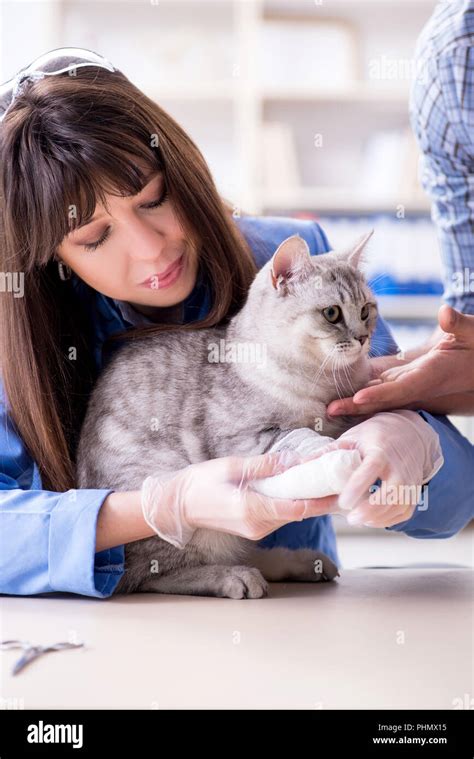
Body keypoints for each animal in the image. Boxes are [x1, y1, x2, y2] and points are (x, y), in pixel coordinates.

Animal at [77, 232, 378, 600]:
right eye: (332, 313)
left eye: (365, 311)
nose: (363, 338)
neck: (321, 383)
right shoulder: (247, 438)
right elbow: (301, 436)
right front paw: (329, 453)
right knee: (154, 575)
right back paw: (233, 576)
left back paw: (300, 563)